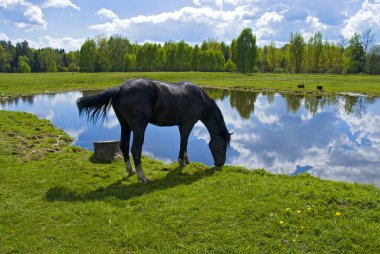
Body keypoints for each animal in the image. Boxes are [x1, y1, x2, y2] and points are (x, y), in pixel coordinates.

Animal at [77, 78, 230, 184]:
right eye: (223, 145)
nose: (220, 164)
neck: (200, 100)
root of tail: (120, 88)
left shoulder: (182, 125)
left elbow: (184, 142)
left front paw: (186, 160)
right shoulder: (188, 124)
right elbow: (183, 142)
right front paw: (181, 162)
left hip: (125, 125)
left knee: (124, 146)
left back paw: (131, 170)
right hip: (139, 127)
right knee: (135, 149)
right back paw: (143, 177)